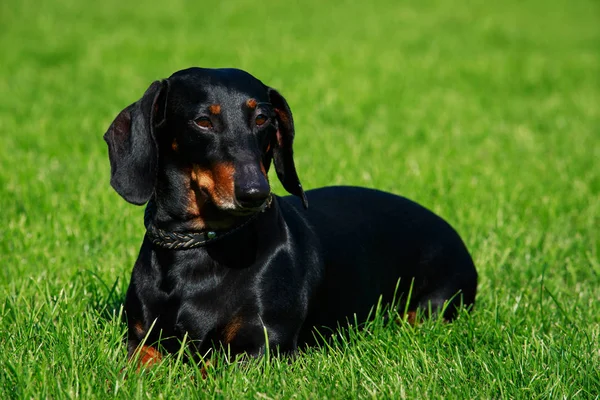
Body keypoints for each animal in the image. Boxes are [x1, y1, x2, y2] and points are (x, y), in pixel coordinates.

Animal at [103, 67, 478, 368]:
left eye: (262, 119)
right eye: (203, 121)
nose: (255, 192)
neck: (199, 248)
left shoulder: (263, 345)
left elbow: (209, 370)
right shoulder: (142, 341)